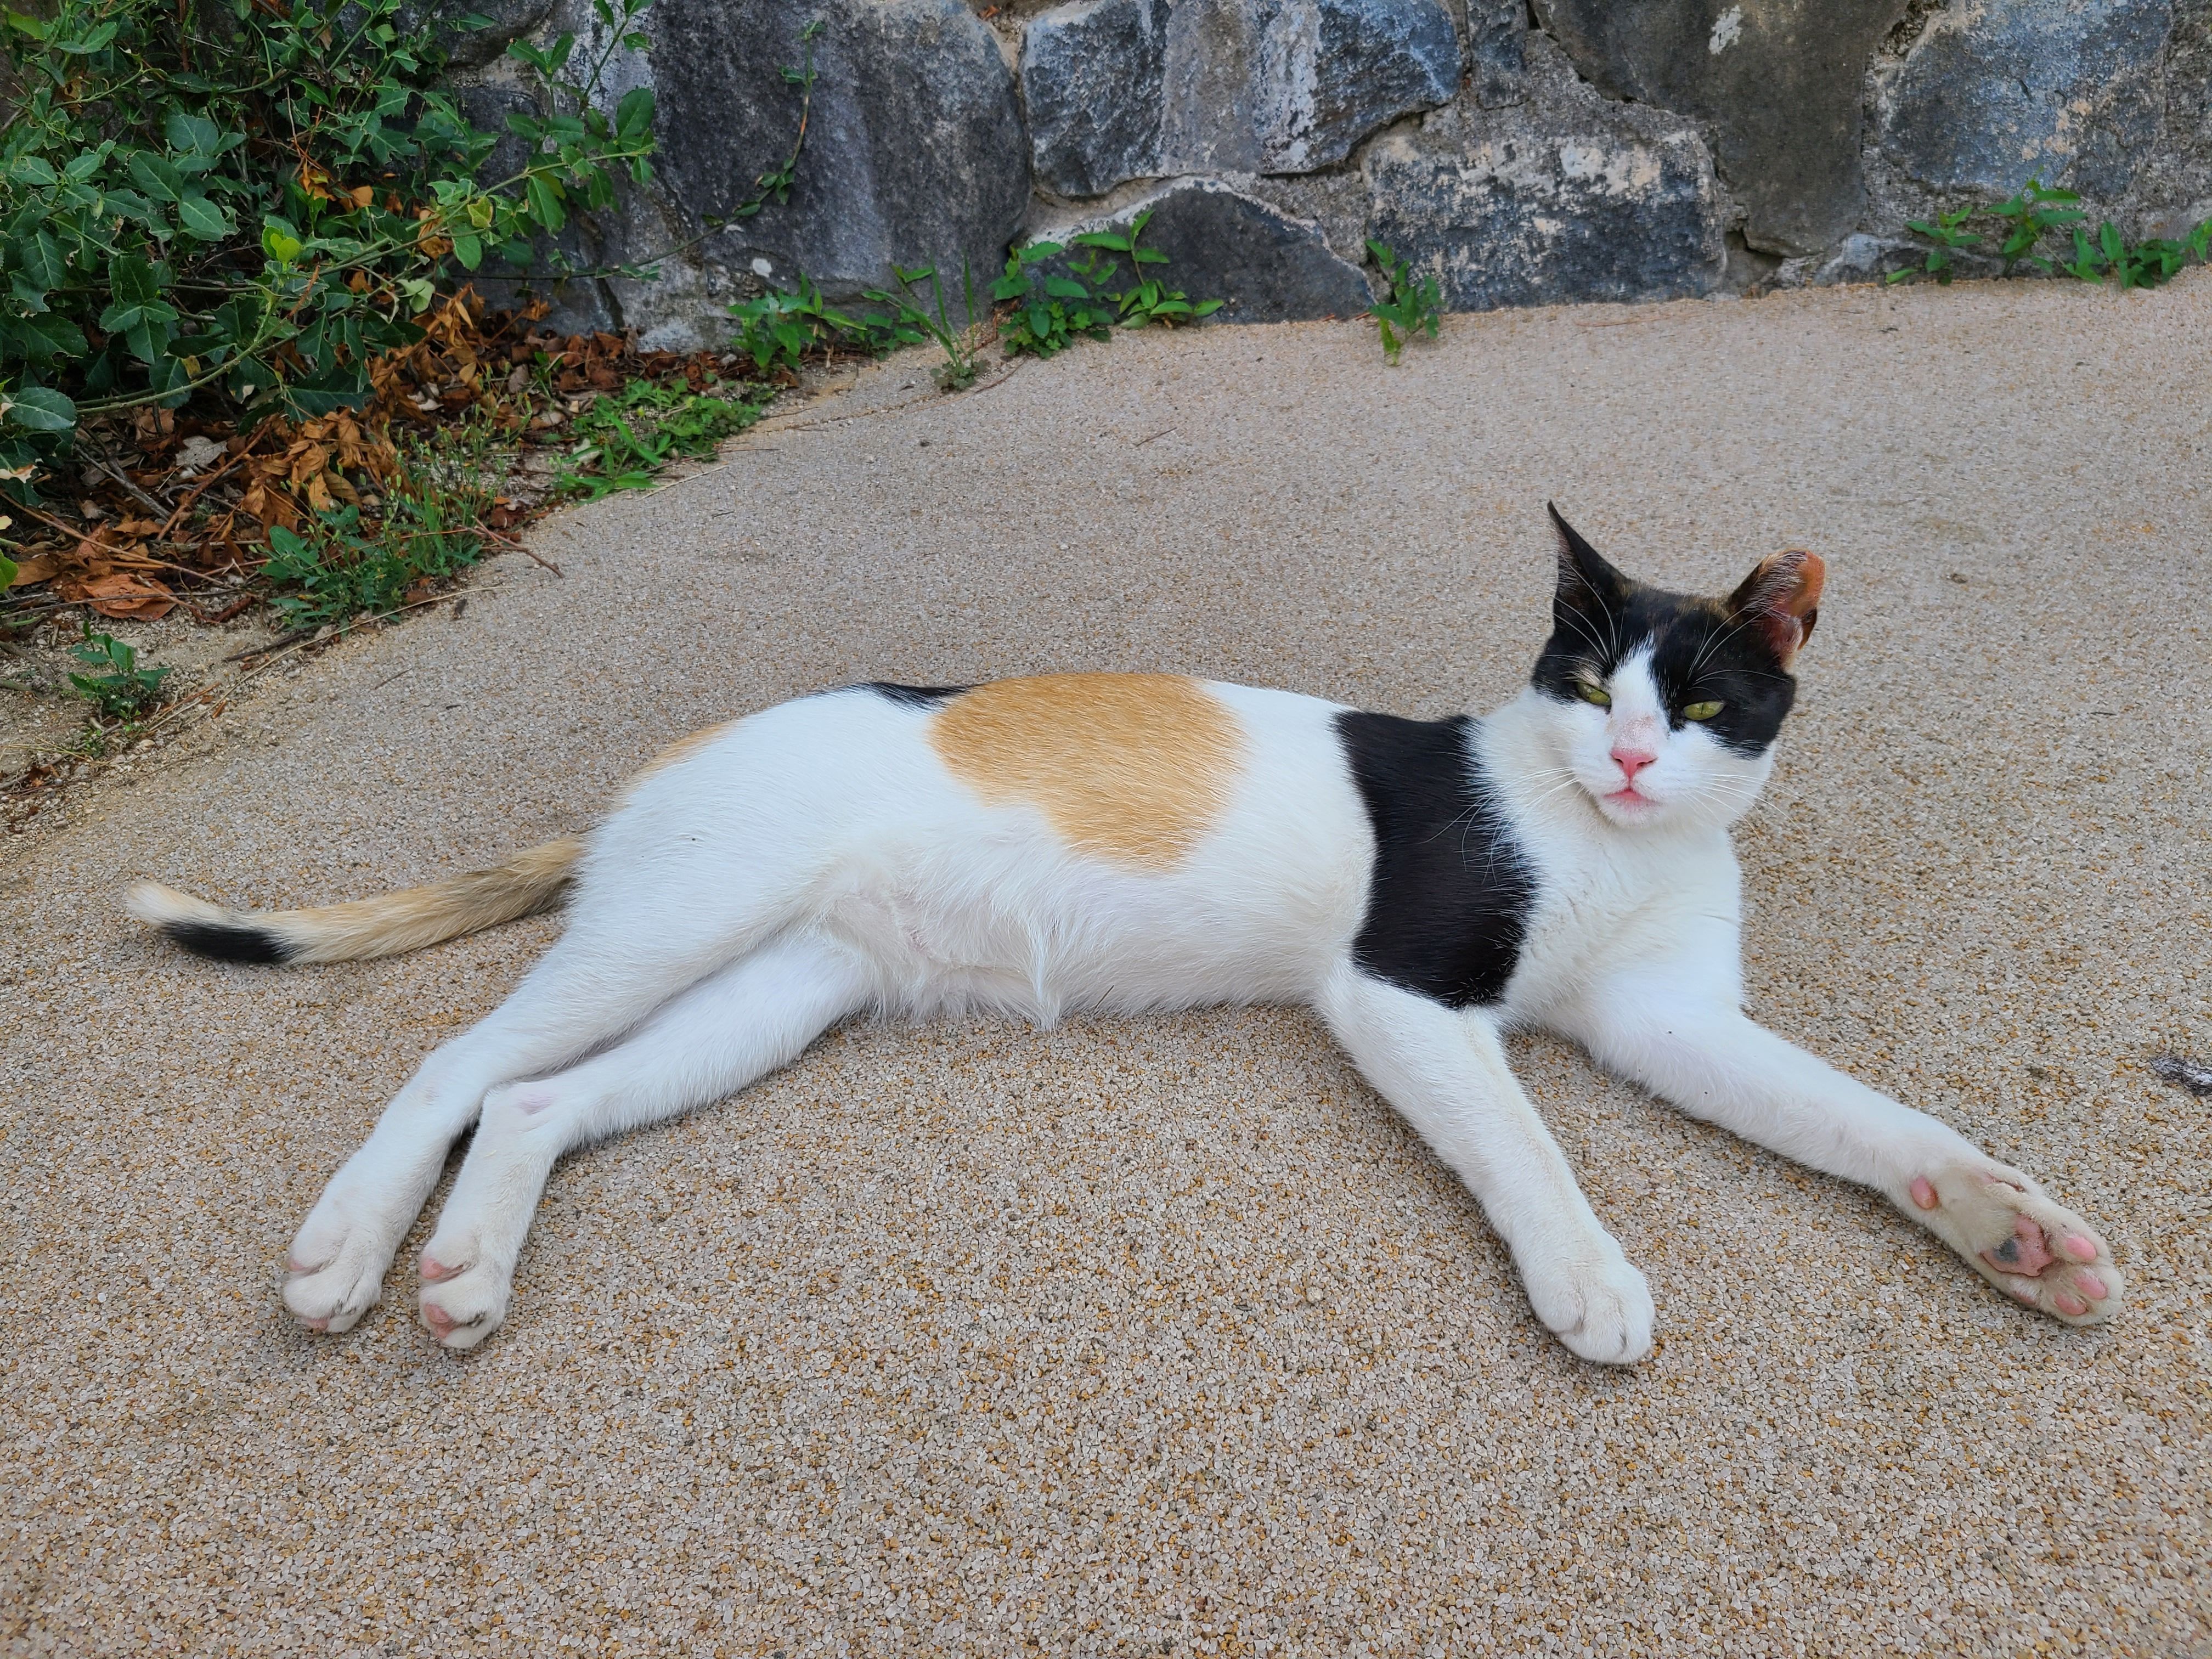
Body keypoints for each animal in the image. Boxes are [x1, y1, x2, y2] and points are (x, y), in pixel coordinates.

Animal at [133, 511, 2123, 1362]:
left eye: (1700, 703)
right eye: (1585, 683)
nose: (1633, 756)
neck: (1603, 842)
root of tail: (657, 768)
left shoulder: (1671, 1026)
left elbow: (1868, 1122)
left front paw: (2012, 1230)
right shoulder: (1399, 994)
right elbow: (1531, 1148)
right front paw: (1587, 1275)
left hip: (771, 993)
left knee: (537, 1102)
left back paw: (466, 1268)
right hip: (680, 925)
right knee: (455, 1060)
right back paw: (348, 1247)